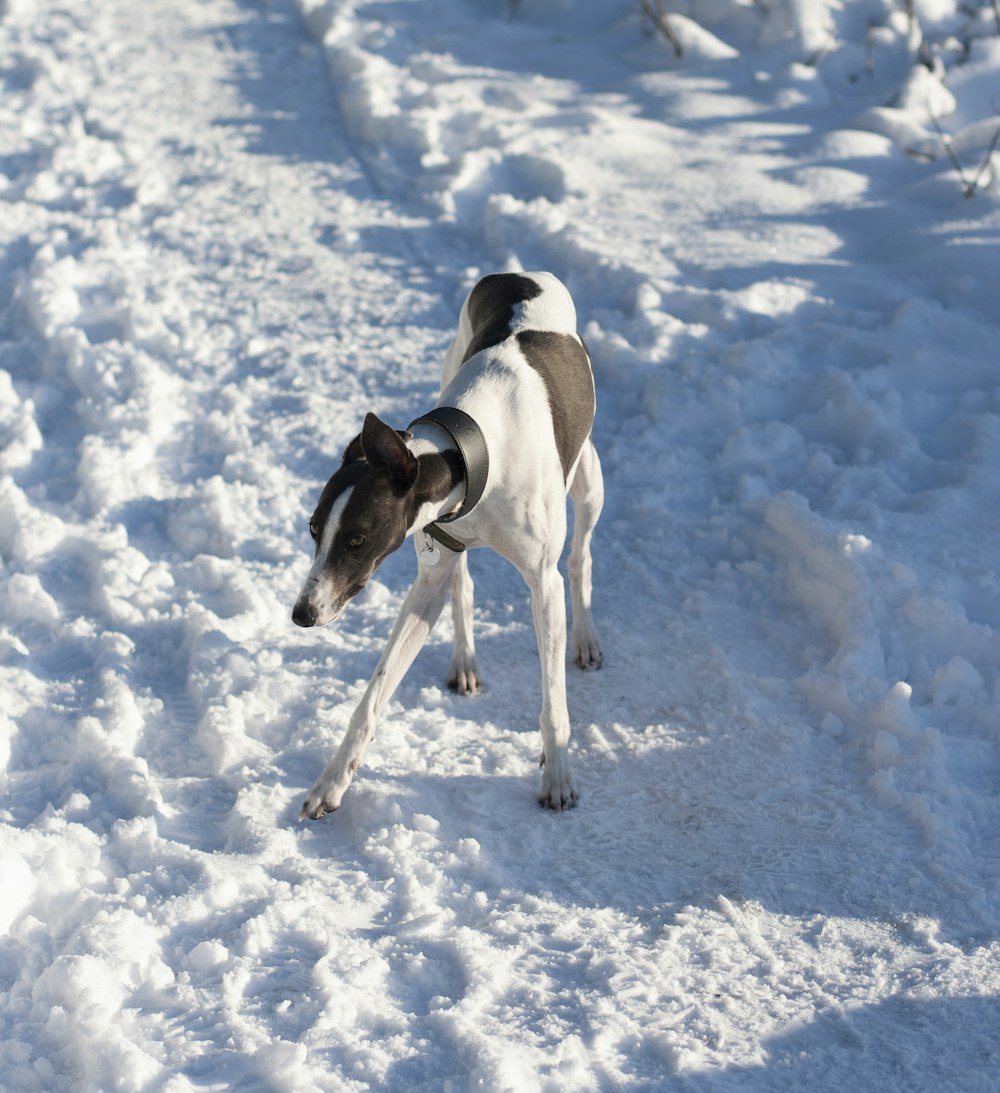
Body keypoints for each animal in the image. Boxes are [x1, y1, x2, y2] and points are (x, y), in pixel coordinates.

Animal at [288, 271, 603, 821]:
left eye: (356, 538)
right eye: (313, 528)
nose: (302, 614)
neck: (473, 451)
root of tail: (519, 274)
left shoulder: (542, 583)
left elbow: (553, 702)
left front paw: (559, 776)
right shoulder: (430, 570)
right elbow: (372, 697)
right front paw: (331, 783)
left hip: (589, 480)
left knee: (580, 556)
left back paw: (584, 640)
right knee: (462, 585)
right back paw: (464, 663)